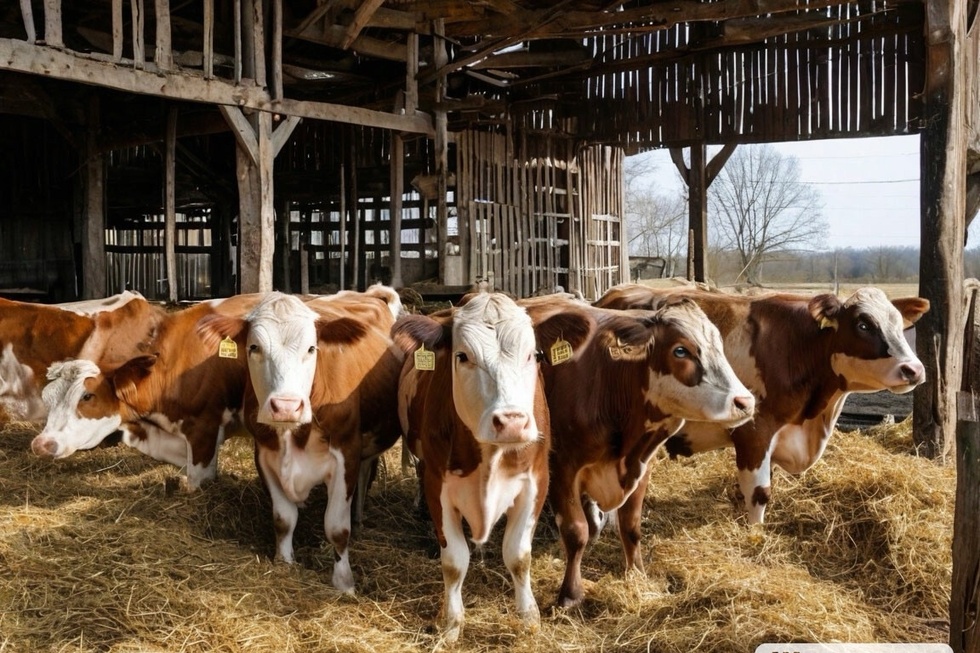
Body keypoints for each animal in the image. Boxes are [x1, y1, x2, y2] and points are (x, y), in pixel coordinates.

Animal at [197, 286, 404, 592]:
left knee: (366, 473)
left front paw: (344, 584)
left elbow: (337, 528)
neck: (292, 434)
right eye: (254, 347)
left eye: (311, 348)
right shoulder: (265, 454)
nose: (285, 406)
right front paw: (284, 562)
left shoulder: (346, 452)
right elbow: (284, 519)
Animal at [520, 296, 756, 608]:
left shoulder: (642, 464)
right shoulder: (562, 466)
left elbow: (630, 527)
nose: (745, 402)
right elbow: (575, 531)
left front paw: (637, 575)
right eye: (680, 350)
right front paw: (570, 595)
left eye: (718, 344)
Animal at [592, 282, 932, 524]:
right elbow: (759, 492)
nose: (914, 369)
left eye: (900, 325)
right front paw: (755, 535)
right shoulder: (754, 430)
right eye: (863, 324)